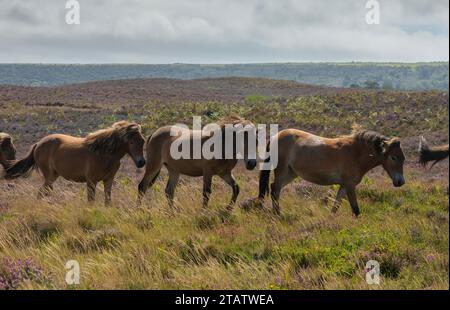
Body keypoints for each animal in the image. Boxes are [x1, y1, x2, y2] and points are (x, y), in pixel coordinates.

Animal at [5, 121, 146, 206]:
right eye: (131, 142)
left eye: (143, 141)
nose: (141, 162)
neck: (103, 153)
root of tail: (38, 143)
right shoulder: (91, 181)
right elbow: (91, 201)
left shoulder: (108, 180)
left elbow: (108, 200)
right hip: (49, 176)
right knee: (41, 192)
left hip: (54, 175)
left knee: (43, 192)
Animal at [255, 128, 406, 216]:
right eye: (393, 157)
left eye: (403, 158)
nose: (400, 182)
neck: (356, 153)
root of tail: (275, 137)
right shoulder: (350, 185)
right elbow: (355, 209)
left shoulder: (344, 186)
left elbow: (336, 206)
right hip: (282, 171)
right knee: (275, 190)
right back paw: (277, 214)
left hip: (291, 173)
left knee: (275, 189)